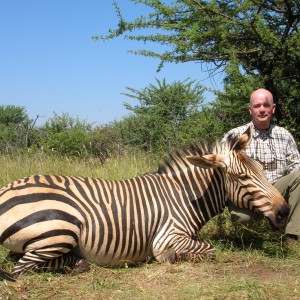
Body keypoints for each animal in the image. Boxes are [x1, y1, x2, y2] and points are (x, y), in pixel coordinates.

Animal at [0, 126, 288, 282]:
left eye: (262, 169)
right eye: (242, 177)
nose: (284, 211)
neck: (184, 197)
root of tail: (6, 190)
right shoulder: (168, 236)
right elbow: (208, 250)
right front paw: (174, 258)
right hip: (60, 229)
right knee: (21, 268)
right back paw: (77, 263)